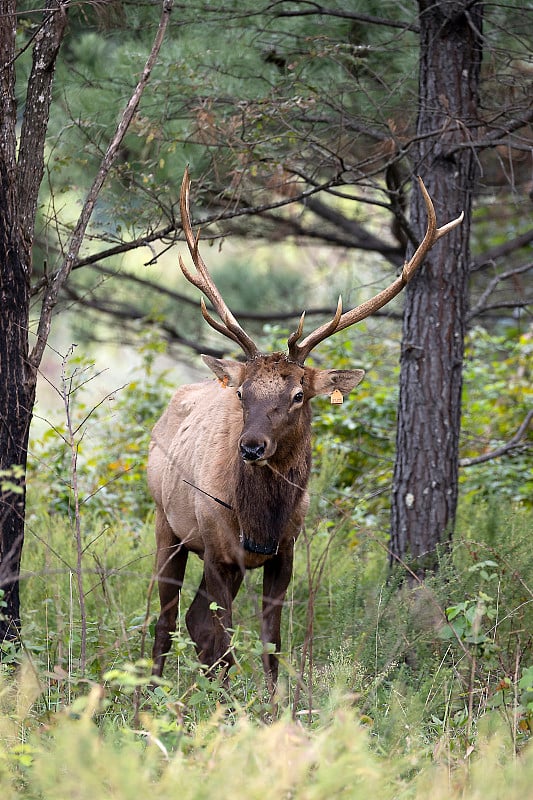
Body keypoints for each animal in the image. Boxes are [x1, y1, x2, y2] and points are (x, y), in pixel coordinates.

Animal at [149, 170, 462, 692]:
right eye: (242, 393)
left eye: (299, 395)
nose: (251, 446)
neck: (259, 520)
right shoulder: (215, 548)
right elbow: (226, 640)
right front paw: (229, 706)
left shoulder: (285, 552)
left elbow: (270, 645)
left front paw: (273, 703)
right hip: (165, 522)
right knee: (166, 620)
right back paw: (147, 696)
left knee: (191, 621)